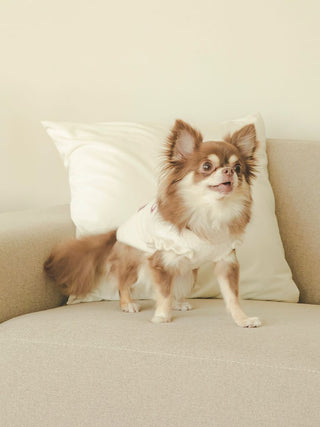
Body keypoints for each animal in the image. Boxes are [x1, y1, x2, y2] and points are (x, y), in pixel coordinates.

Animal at [45, 120, 262, 328]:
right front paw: (162, 316)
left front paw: (243, 319)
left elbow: (232, 297)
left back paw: (179, 303)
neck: (209, 211)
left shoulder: (226, 260)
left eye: (238, 168)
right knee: (124, 283)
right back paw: (127, 303)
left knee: (178, 285)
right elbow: (163, 293)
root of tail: (117, 231)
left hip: (189, 273)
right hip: (135, 265)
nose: (229, 171)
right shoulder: (161, 262)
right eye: (207, 166)